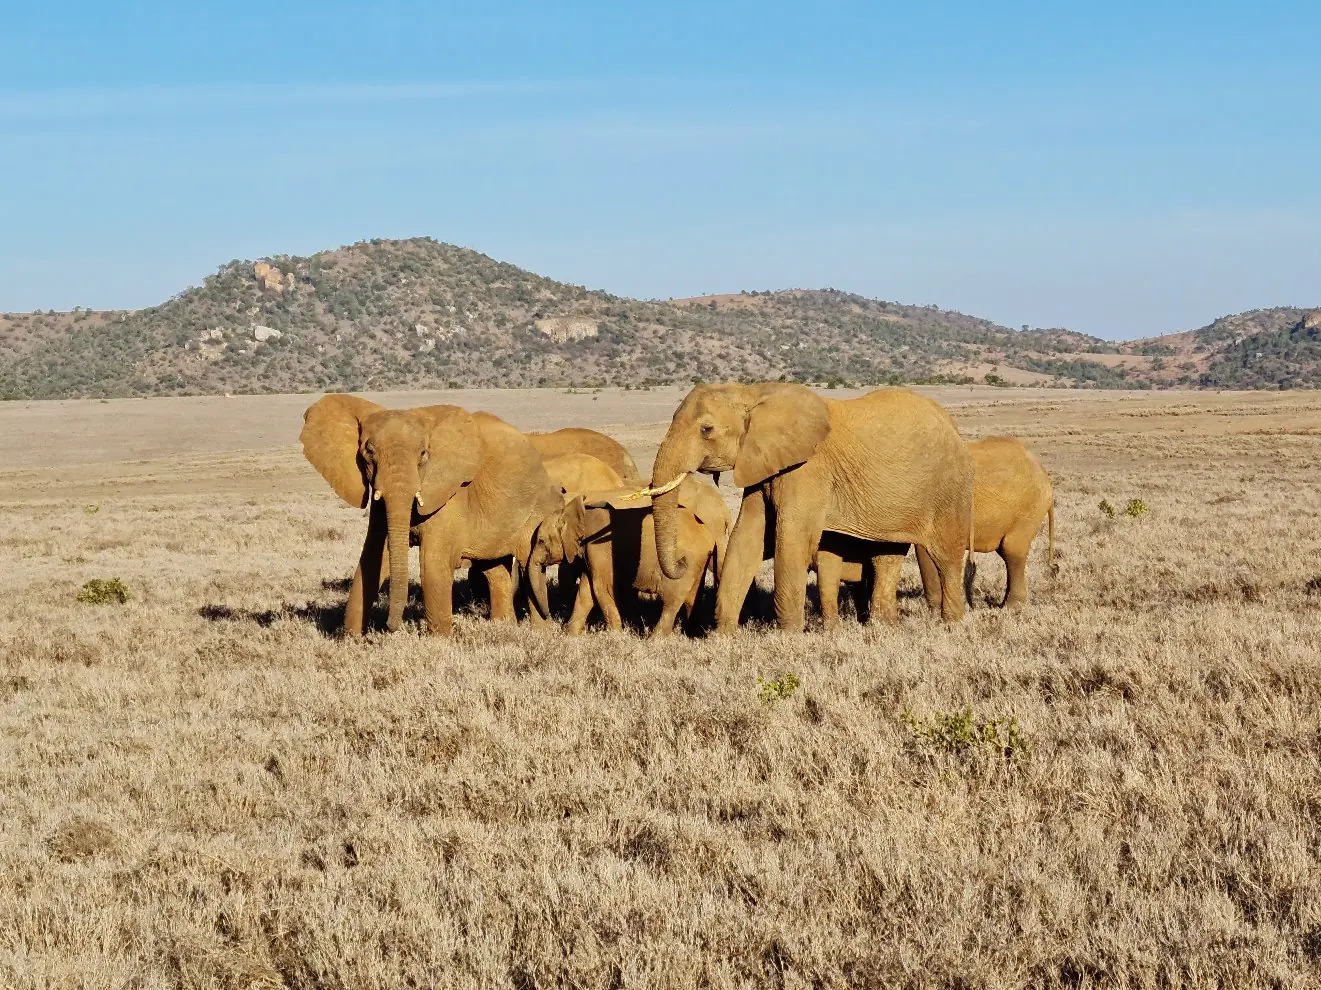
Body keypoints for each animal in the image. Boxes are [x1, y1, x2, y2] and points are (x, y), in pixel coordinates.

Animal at [300, 394, 561, 635]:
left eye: (424, 454)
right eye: (368, 452)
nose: (389, 627)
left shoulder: (450, 493)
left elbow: (432, 564)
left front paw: (439, 641)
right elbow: (372, 558)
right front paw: (352, 640)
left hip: (535, 509)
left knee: (529, 566)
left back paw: (540, 632)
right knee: (494, 571)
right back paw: (503, 626)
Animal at [527, 473, 730, 637]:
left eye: (541, 541)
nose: (549, 616)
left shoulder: (598, 548)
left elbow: (602, 588)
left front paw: (615, 636)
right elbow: (586, 591)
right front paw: (571, 636)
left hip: (688, 562)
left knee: (672, 599)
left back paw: (655, 640)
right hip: (699, 561)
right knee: (691, 598)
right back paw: (692, 634)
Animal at [638, 383, 974, 632]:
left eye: (706, 429)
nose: (683, 561)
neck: (754, 393)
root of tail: (952, 426)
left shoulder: (807, 470)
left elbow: (791, 539)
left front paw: (788, 636)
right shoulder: (764, 465)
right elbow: (746, 538)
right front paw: (722, 636)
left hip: (948, 488)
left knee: (946, 557)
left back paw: (952, 625)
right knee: (887, 555)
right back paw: (885, 627)